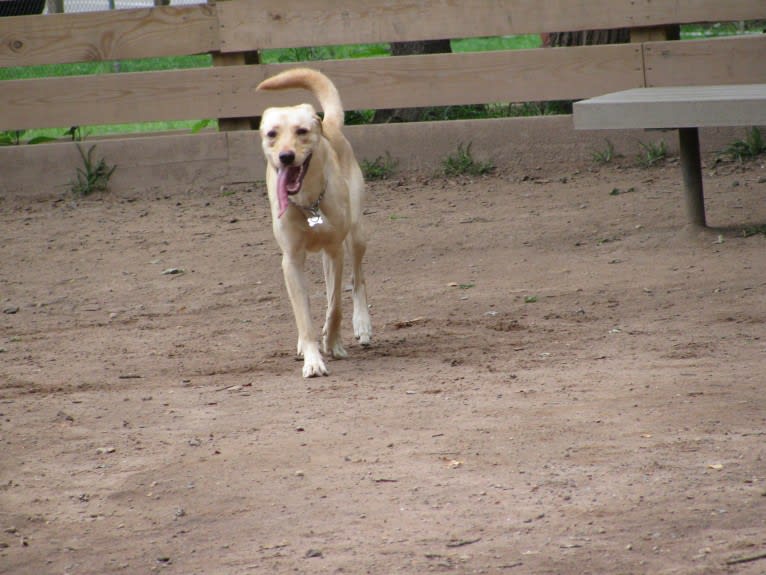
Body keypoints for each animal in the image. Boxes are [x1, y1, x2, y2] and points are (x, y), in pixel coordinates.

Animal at [256, 68, 374, 378]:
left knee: (358, 280)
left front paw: (333, 344)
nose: (286, 156)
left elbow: (335, 306)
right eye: (272, 134)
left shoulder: (335, 251)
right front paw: (312, 359)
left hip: (356, 235)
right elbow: (304, 316)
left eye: (301, 131)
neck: (309, 202)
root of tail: (329, 125)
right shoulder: (291, 260)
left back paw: (362, 325)